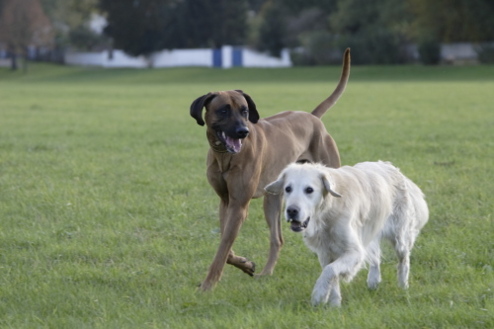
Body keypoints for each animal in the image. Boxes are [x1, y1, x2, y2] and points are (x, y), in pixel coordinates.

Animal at [190, 48, 352, 290]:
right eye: (224, 110)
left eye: (245, 111)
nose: (243, 131)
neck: (225, 156)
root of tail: (312, 117)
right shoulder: (226, 201)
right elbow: (225, 244)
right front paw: (245, 264)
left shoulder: (239, 205)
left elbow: (223, 247)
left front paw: (208, 285)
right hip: (272, 200)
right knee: (277, 239)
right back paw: (266, 272)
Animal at [266, 161, 428, 304]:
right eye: (288, 189)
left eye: (309, 190)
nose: (292, 211)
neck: (327, 213)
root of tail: (392, 167)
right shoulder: (325, 253)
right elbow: (332, 276)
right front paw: (334, 304)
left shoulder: (354, 251)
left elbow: (330, 271)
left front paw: (319, 295)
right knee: (375, 258)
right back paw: (373, 282)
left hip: (399, 237)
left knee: (404, 260)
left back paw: (403, 287)